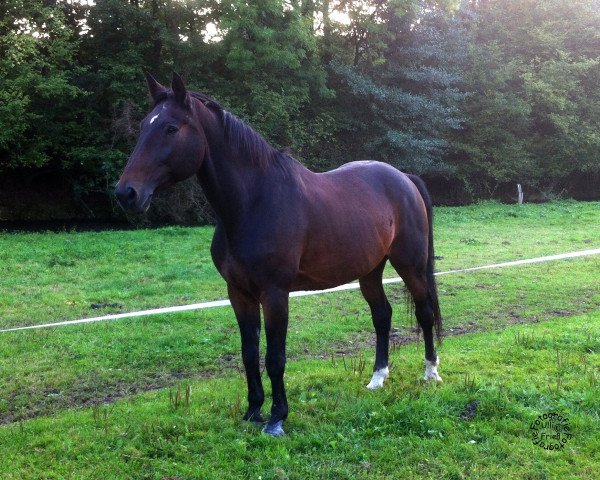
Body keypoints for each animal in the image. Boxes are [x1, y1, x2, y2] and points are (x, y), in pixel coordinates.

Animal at [115, 73, 442, 436]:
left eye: (171, 128)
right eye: (143, 126)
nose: (126, 193)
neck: (253, 203)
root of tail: (403, 178)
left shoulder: (274, 294)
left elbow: (275, 358)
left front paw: (276, 419)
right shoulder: (239, 293)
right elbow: (248, 353)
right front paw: (252, 411)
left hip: (410, 265)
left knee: (425, 312)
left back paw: (430, 372)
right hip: (370, 270)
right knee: (382, 315)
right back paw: (377, 379)